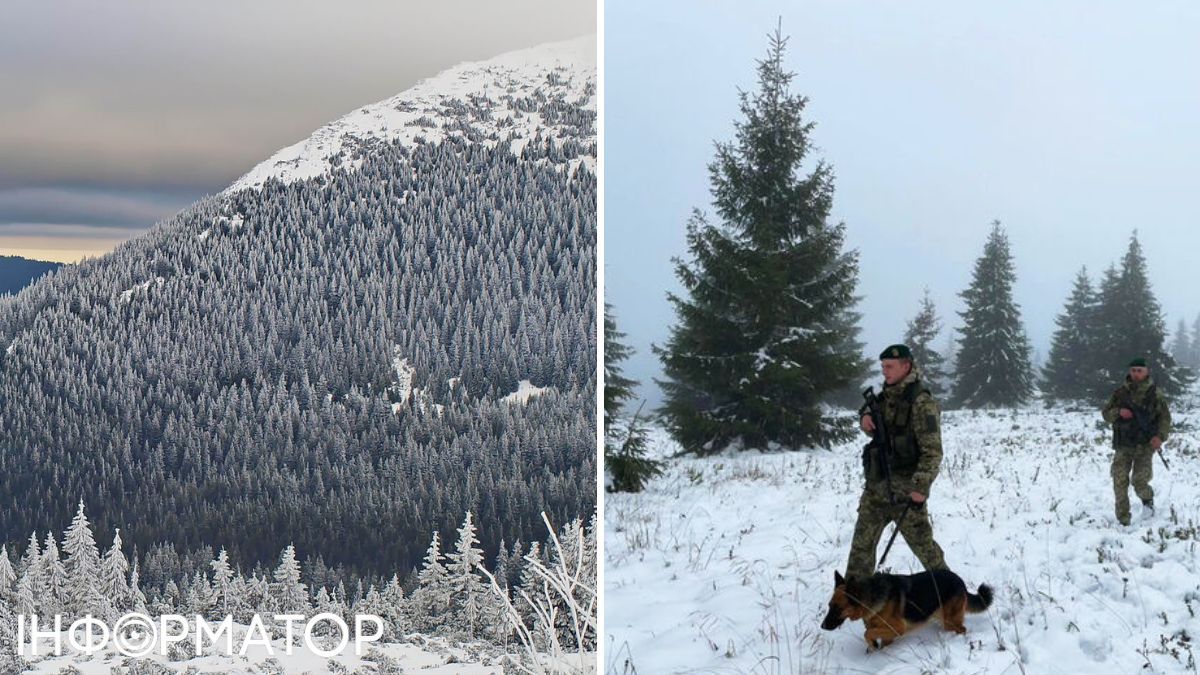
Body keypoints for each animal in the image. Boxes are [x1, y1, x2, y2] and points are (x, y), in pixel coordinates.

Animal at [816, 566, 993, 648]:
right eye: (830, 606)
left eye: (838, 608)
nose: (822, 626)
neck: (872, 596)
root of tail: (960, 581)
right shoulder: (887, 634)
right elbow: (874, 636)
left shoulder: (897, 629)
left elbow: (868, 633)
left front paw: (872, 646)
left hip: (950, 621)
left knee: (962, 629)